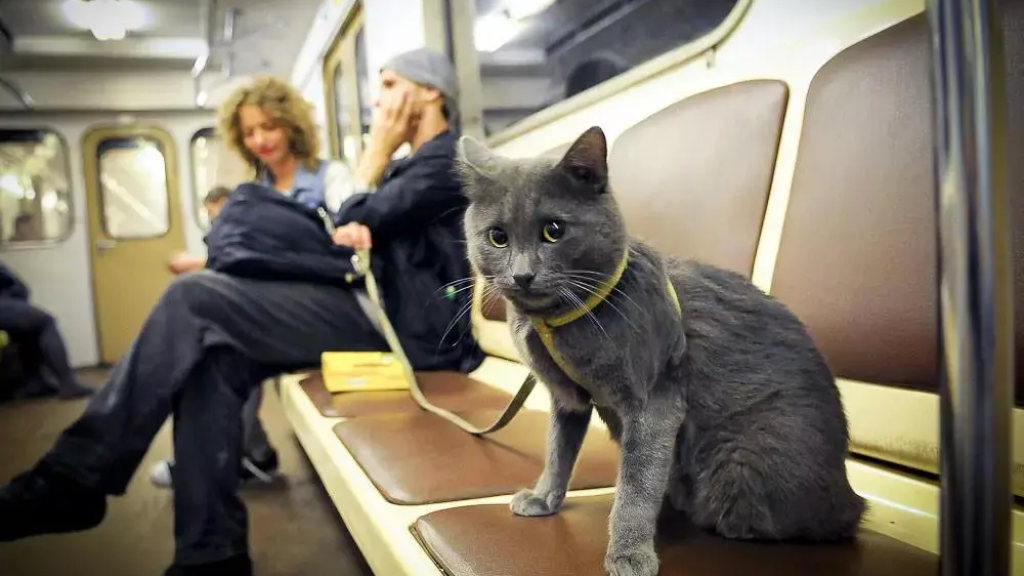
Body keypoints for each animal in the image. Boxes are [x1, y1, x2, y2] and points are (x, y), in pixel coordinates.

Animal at [456, 127, 864, 573]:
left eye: (554, 230)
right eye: (497, 237)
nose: (522, 275)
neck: (556, 320)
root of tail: (851, 498)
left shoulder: (655, 402)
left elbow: (636, 484)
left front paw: (629, 553)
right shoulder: (568, 399)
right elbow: (557, 451)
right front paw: (544, 498)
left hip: (742, 463)